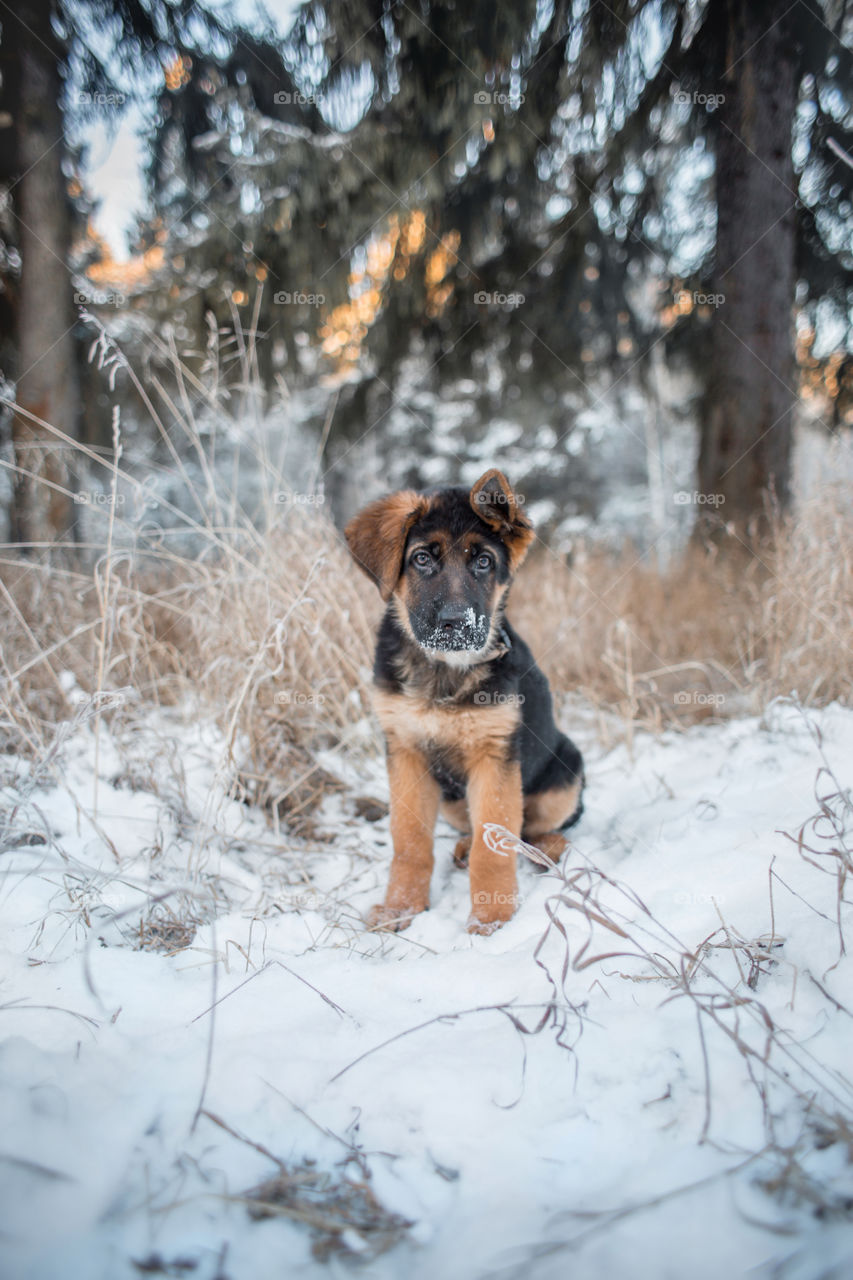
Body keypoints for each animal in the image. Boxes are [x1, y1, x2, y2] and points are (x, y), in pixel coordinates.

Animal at [343, 465, 581, 936]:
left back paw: (547, 850)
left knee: (534, 829)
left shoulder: (494, 757)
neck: (443, 671)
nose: (455, 623)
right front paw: (400, 908)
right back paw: (465, 847)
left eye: (483, 561)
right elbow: (409, 841)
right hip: (452, 798)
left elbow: (496, 847)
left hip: (567, 770)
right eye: (422, 559)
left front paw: (492, 919)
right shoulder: (406, 751)